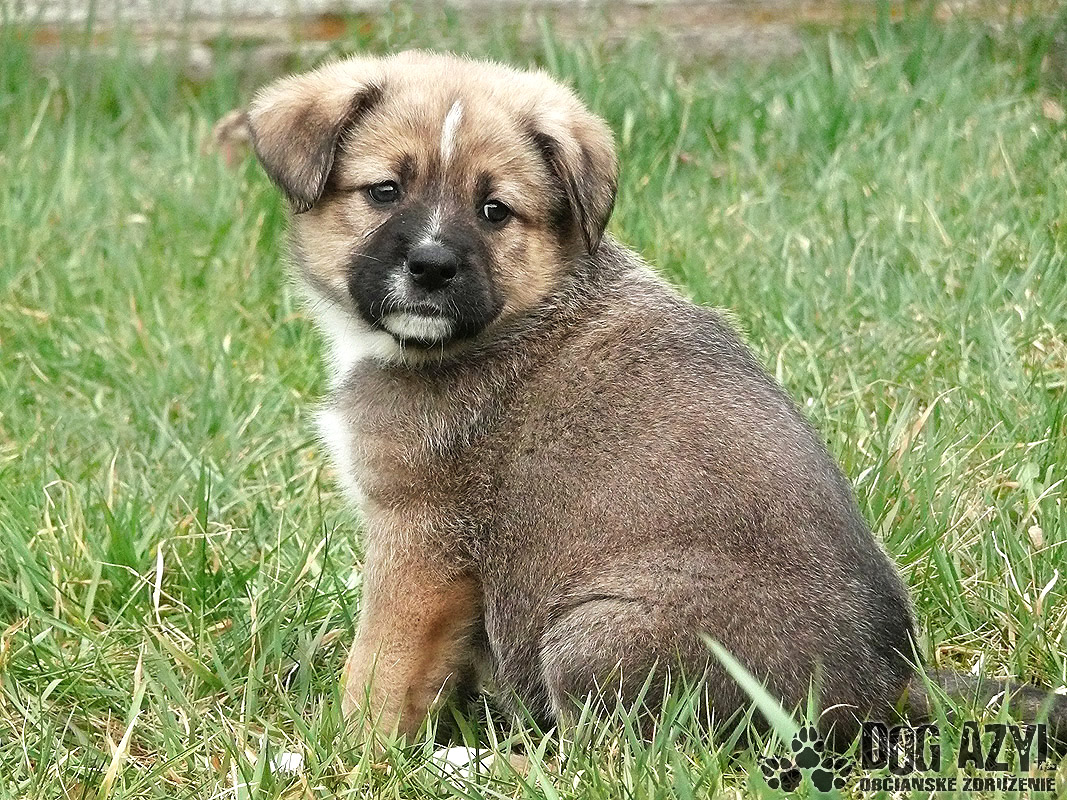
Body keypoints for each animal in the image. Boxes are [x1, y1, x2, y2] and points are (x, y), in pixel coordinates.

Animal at [245, 50, 1066, 744]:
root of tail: (890, 686)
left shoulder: (419, 540)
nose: (432, 266)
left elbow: (379, 670)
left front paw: (345, 754)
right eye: (384, 192)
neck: (517, 313)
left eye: (494, 210)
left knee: (603, 756)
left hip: (592, 634)